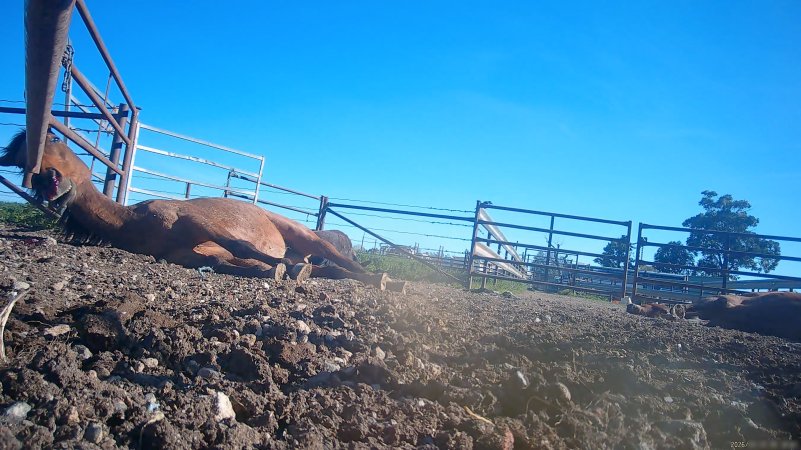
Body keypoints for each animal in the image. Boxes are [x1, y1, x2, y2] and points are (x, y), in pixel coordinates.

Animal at [1, 130, 390, 289]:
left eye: (54, 139)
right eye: (21, 165)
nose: (49, 183)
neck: (135, 221)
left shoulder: (197, 222)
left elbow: (241, 246)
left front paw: (278, 266)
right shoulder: (187, 255)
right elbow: (229, 264)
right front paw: (275, 270)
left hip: (301, 234)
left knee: (340, 260)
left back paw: (383, 280)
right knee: (332, 271)